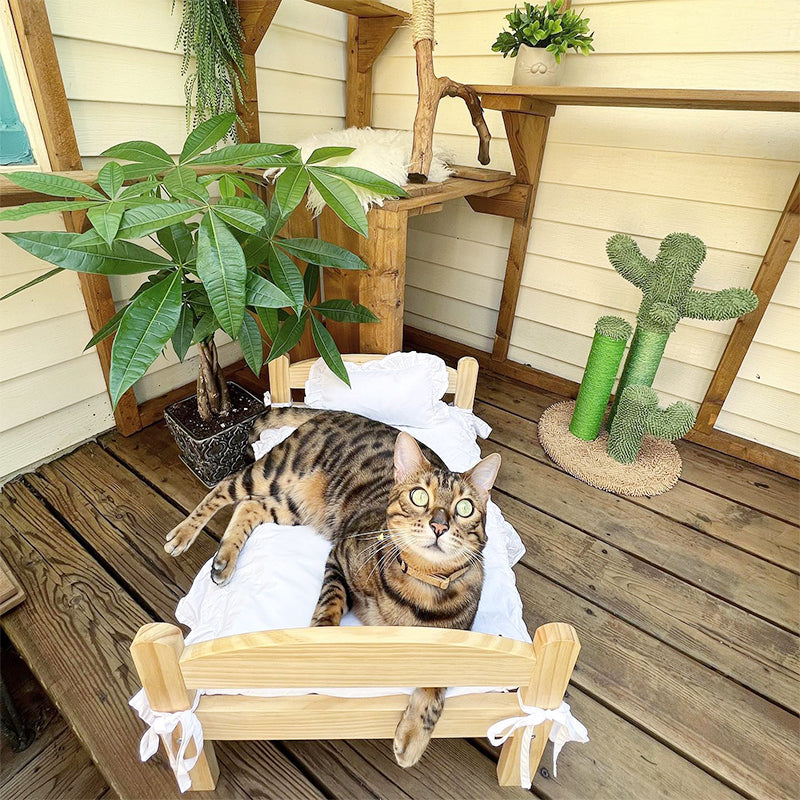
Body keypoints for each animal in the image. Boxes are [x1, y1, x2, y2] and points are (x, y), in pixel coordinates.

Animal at [162, 410, 500, 764]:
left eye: (465, 508)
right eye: (419, 496)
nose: (438, 525)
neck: (420, 584)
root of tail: (333, 411)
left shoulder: (458, 640)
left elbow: (437, 686)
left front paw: (412, 737)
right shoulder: (338, 557)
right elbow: (330, 605)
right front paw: (321, 646)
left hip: (295, 506)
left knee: (250, 506)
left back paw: (224, 559)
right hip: (272, 472)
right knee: (223, 490)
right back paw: (183, 535)